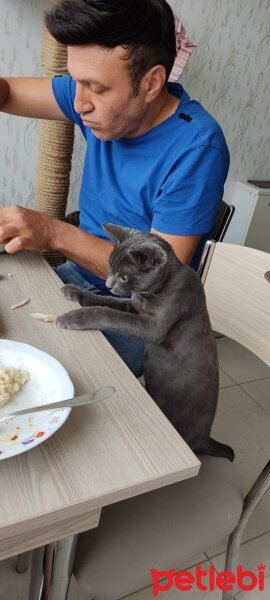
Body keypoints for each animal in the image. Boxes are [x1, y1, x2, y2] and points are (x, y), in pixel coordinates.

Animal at [57, 223, 234, 462]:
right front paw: (75, 291)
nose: (108, 284)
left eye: (123, 276)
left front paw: (74, 317)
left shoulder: (153, 326)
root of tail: (205, 439)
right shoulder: (133, 305)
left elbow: (110, 314)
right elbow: (108, 302)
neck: (155, 291)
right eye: (109, 267)